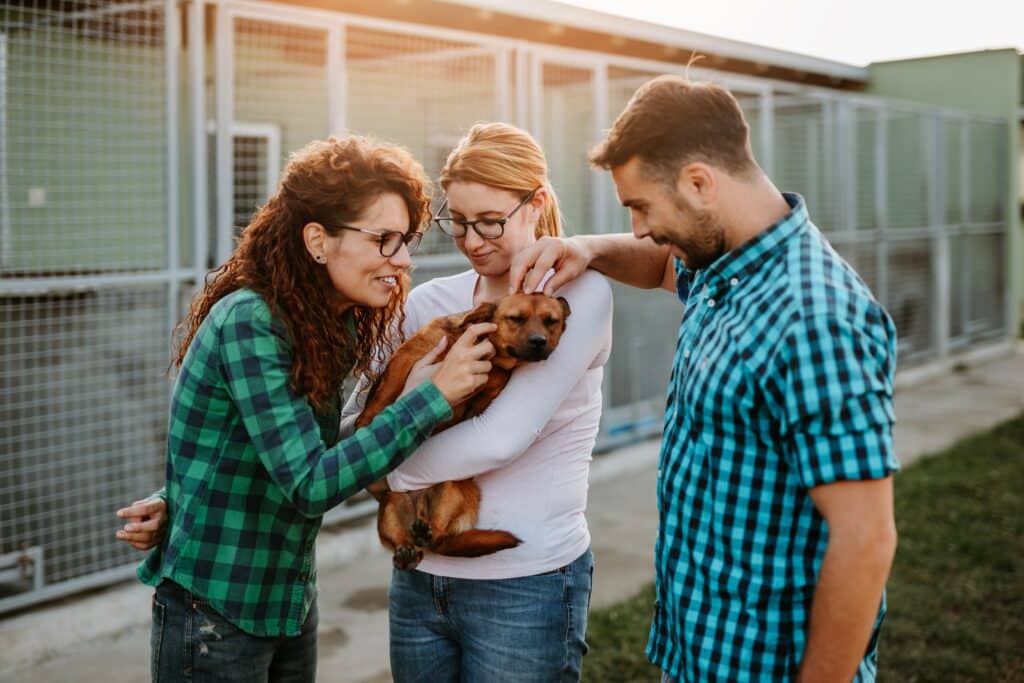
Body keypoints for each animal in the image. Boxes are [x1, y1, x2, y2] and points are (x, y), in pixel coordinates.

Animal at [358, 294, 569, 573]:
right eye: (515, 318)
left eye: (551, 321)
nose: (539, 341)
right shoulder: (411, 354)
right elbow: (388, 386)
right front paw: (366, 420)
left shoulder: (486, 395)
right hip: (390, 506)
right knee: (405, 540)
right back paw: (406, 550)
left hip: (450, 489)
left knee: (438, 536)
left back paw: (426, 535)